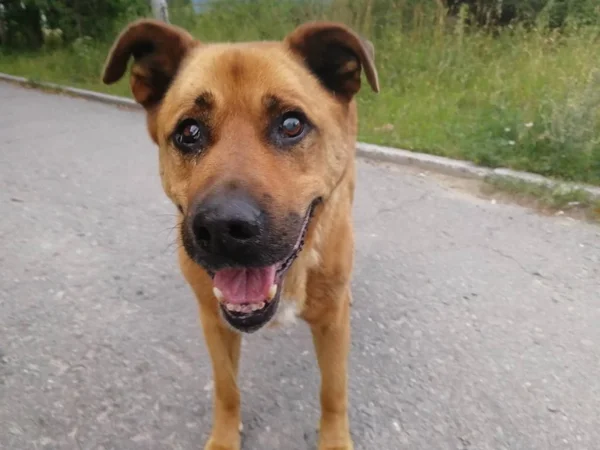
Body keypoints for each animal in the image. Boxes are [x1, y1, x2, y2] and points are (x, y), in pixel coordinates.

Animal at [101, 18, 378, 450]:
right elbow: (226, 387)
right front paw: (224, 437)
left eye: (291, 124)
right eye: (189, 131)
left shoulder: (332, 325)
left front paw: (334, 439)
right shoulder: (214, 320)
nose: (222, 227)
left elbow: (333, 391)